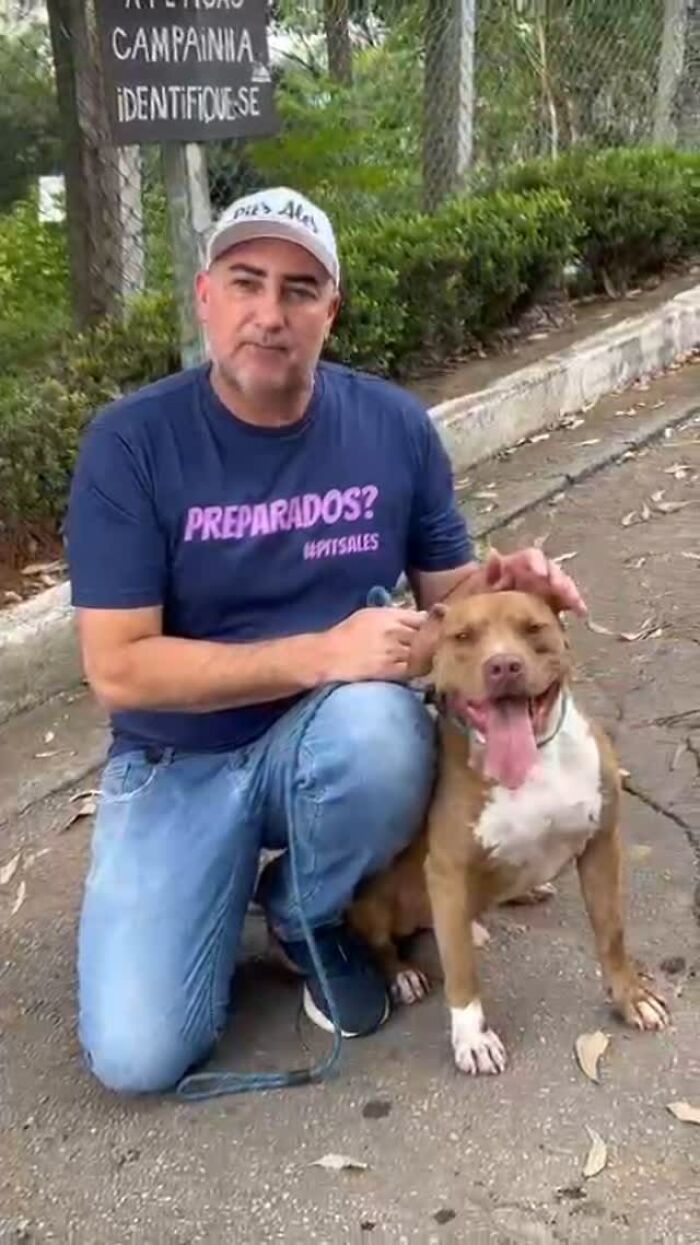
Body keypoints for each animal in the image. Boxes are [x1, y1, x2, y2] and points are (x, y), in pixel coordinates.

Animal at [346, 590, 667, 1070]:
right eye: (463, 637)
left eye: (533, 628)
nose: (503, 665)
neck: (537, 761)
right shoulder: (447, 872)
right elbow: (460, 969)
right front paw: (473, 1039)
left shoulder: (601, 844)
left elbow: (611, 932)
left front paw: (630, 997)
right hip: (372, 900)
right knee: (382, 943)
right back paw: (402, 974)